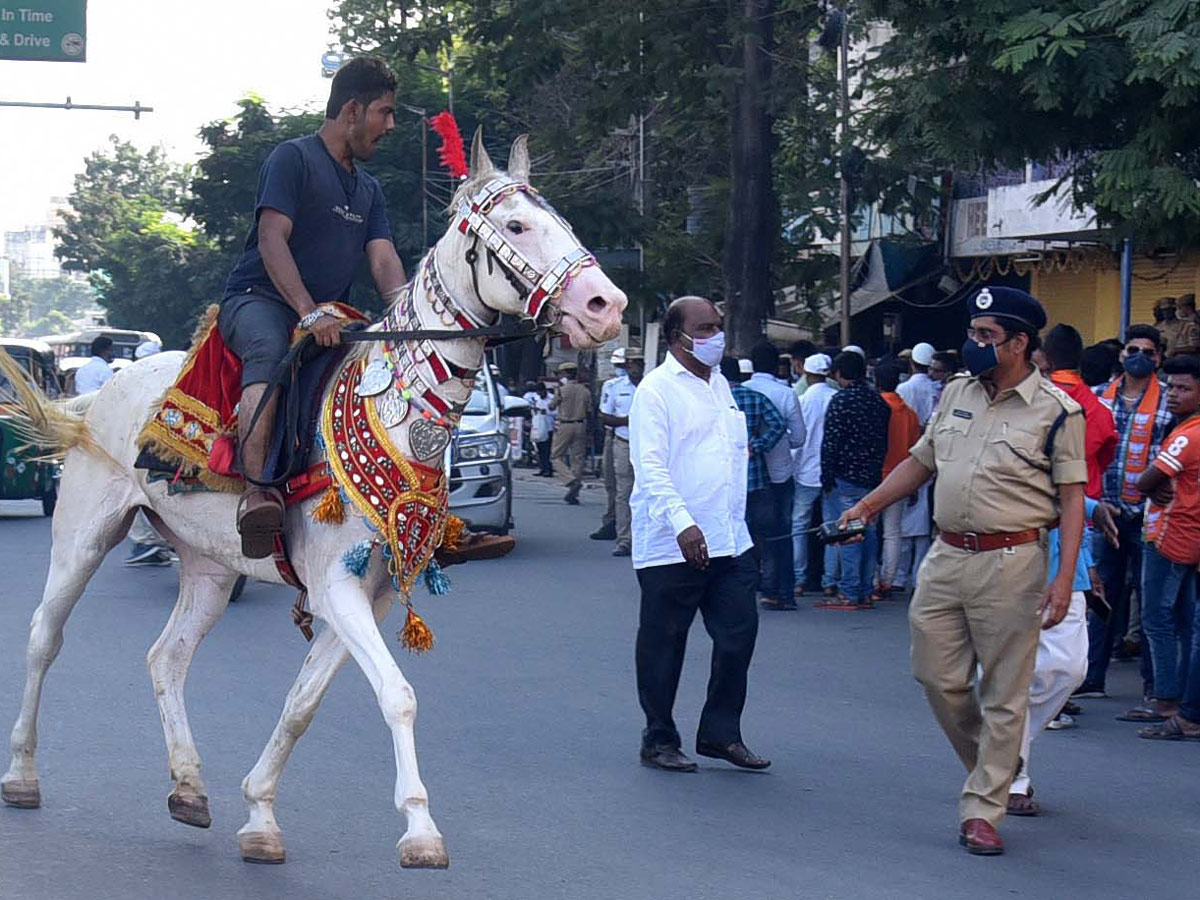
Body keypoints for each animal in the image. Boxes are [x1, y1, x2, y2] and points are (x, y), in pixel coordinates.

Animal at [4, 130, 628, 868]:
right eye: (517, 226)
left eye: (564, 222)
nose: (607, 306)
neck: (396, 414)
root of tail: (98, 394)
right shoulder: (335, 584)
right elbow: (398, 695)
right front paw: (420, 829)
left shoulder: (371, 592)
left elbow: (303, 702)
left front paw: (260, 817)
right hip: (85, 530)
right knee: (45, 635)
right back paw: (22, 776)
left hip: (210, 563)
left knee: (168, 657)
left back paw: (189, 788)